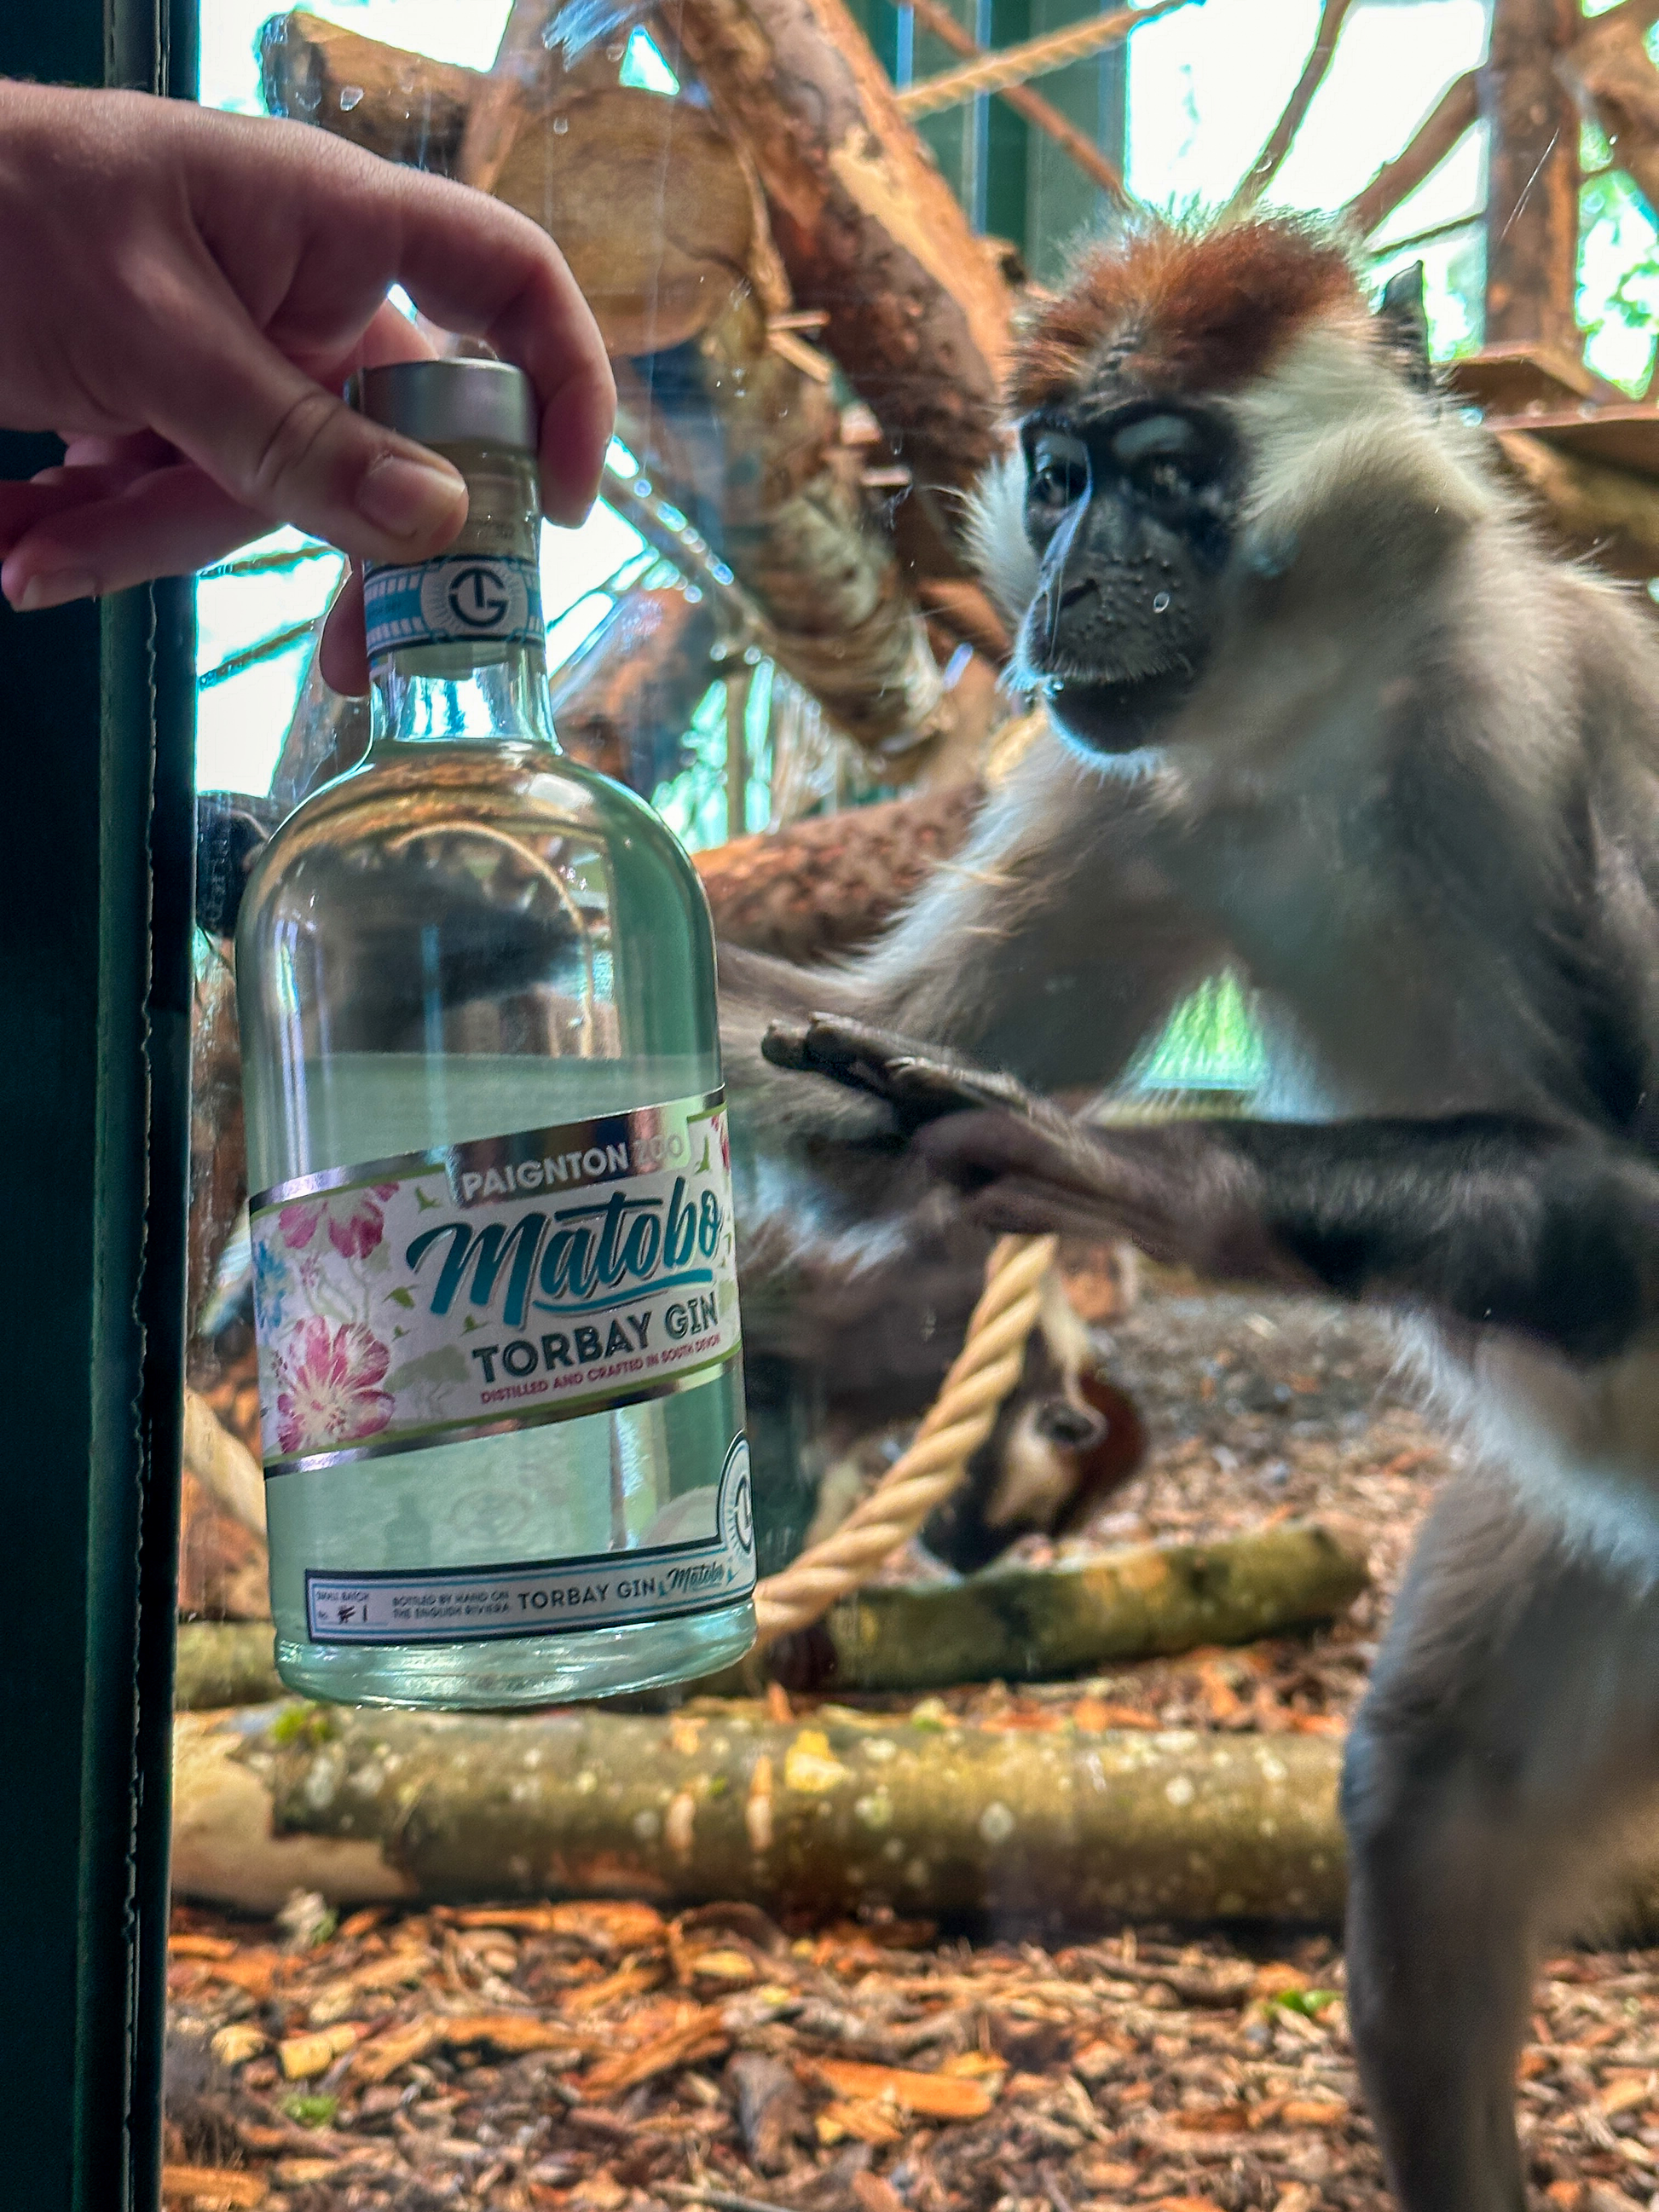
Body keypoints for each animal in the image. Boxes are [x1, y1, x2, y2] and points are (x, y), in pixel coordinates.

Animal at [716, 211, 1659, 2212]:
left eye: (1165, 478)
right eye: (1059, 480)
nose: (1075, 579)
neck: (1323, 729)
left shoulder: (1576, 696)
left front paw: (1145, 1173)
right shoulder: (1119, 789)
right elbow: (850, 1126)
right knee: (1426, 1799)